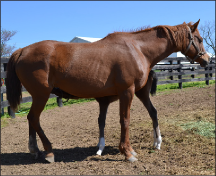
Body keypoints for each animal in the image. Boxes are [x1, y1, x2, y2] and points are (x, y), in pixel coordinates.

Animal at [6, 19, 209, 162]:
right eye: (199, 39)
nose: (206, 59)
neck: (137, 49)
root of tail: (22, 50)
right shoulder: (127, 92)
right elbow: (125, 120)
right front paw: (128, 153)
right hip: (42, 95)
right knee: (34, 118)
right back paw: (48, 152)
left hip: (37, 96)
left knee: (32, 119)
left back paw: (35, 150)